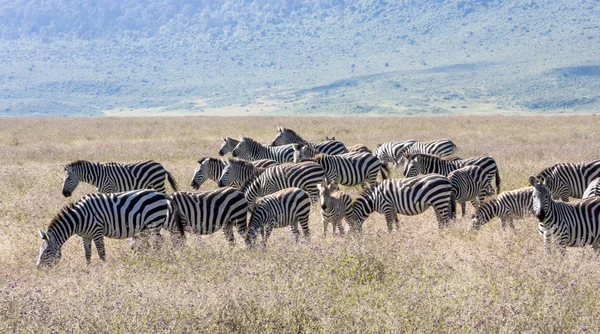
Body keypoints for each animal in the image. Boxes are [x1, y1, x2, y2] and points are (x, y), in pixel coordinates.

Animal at [37, 190, 183, 268]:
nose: (37, 268)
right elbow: (87, 253)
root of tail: (162, 195)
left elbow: (101, 252)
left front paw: (105, 267)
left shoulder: (97, 231)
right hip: (147, 226)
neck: (79, 218)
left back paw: (157, 259)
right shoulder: (85, 235)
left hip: (153, 223)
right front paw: (87, 268)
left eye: (47, 251)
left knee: (159, 242)